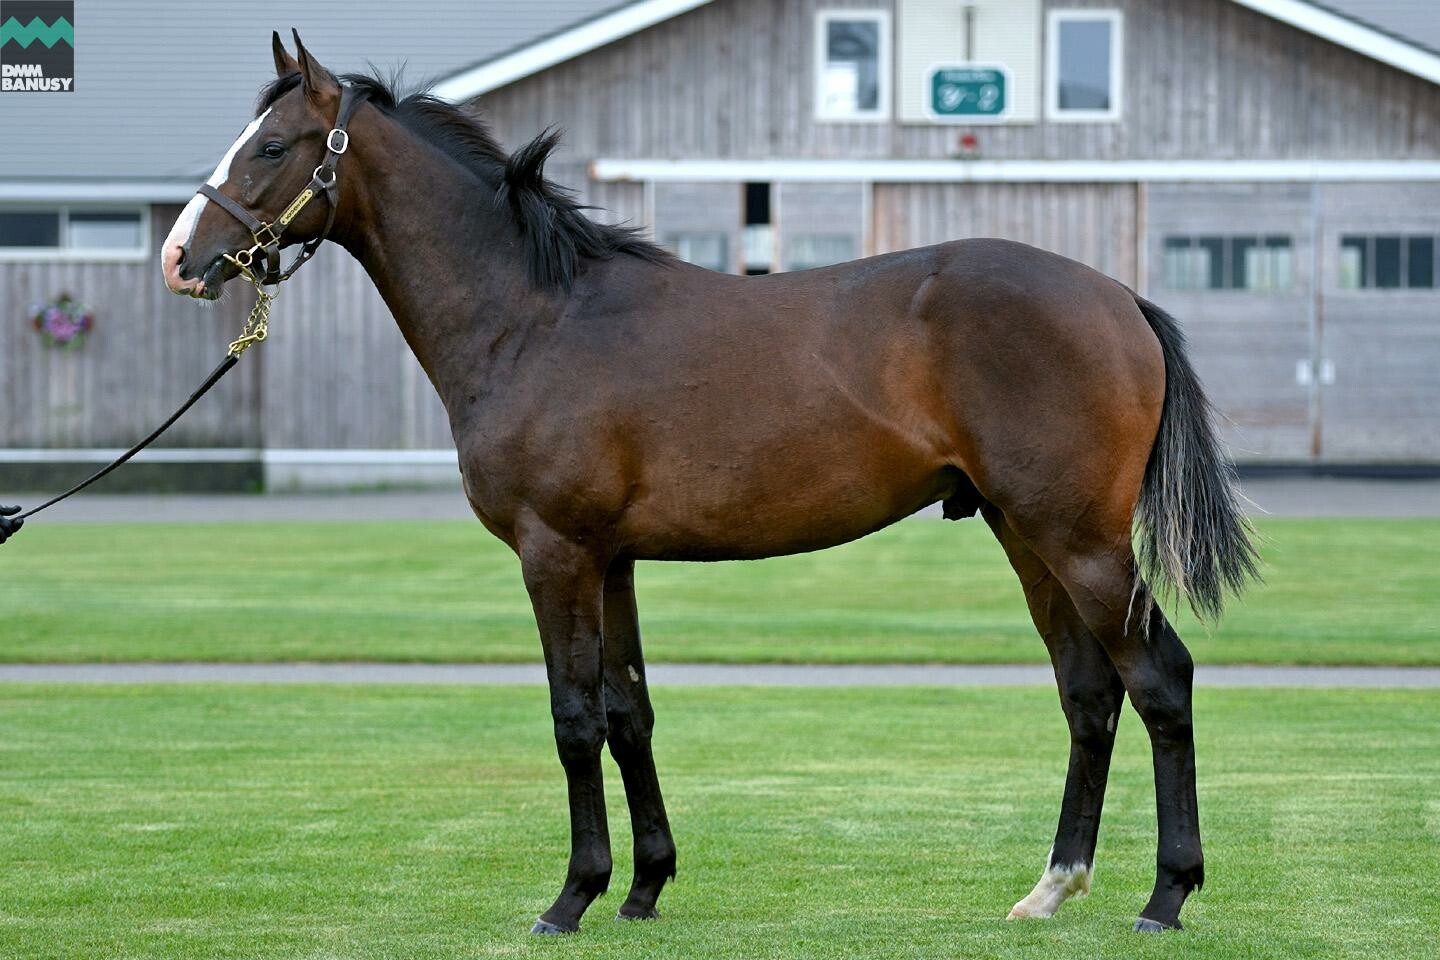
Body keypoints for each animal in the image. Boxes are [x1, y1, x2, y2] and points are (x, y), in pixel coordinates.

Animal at [163, 35, 1255, 938]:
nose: (182, 257)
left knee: (1160, 681)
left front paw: (570, 898)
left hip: (1078, 540)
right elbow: (627, 715)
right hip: (1026, 536)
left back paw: (1167, 895)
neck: (535, 316)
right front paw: (644, 887)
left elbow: (572, 720)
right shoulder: (610, 561)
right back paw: (1053, 887)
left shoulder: (555, 554)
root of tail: (1119, 297)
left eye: (272, 146)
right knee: (1089, 693)